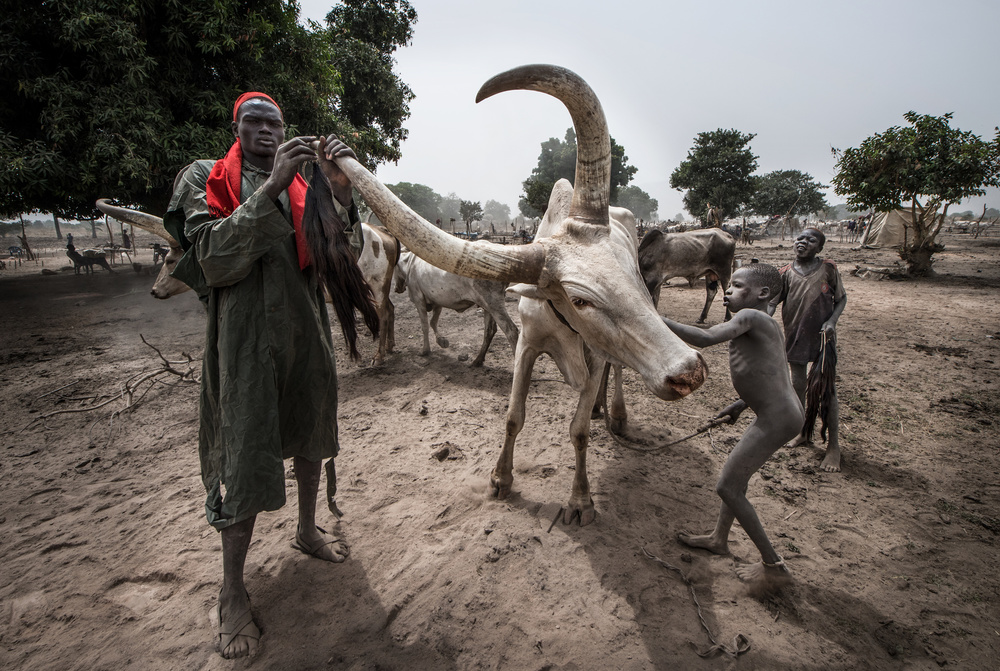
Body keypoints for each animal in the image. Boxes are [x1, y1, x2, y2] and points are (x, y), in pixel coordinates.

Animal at [328, 64, 704, 524]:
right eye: (580, 300)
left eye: (632, 274)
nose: (689, 370)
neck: (563, 324)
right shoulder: (527, 344)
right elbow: (513, 417)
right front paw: (500, 480)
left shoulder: (596, 354)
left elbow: (579, 429)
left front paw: (580, 499)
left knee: (616, 372)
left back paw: (614, 413)